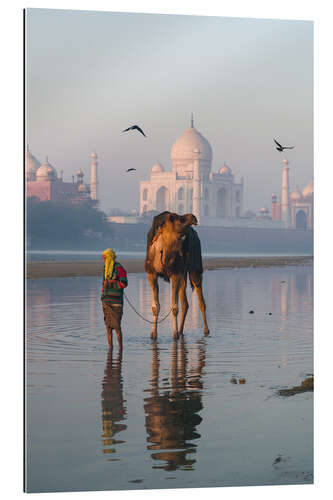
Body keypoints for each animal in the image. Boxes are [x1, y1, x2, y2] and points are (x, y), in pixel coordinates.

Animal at [145, 211, 209, 340]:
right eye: (177, 218)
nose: (194, 217)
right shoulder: (152, 274)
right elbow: (155, 307)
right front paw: (154, 334)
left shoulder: (175, 273)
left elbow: (174, 307)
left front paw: (174, 335)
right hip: (183, 274)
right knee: (185, 303)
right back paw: (181, 331)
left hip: (194, 267)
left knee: (200, 299)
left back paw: (206, 331)